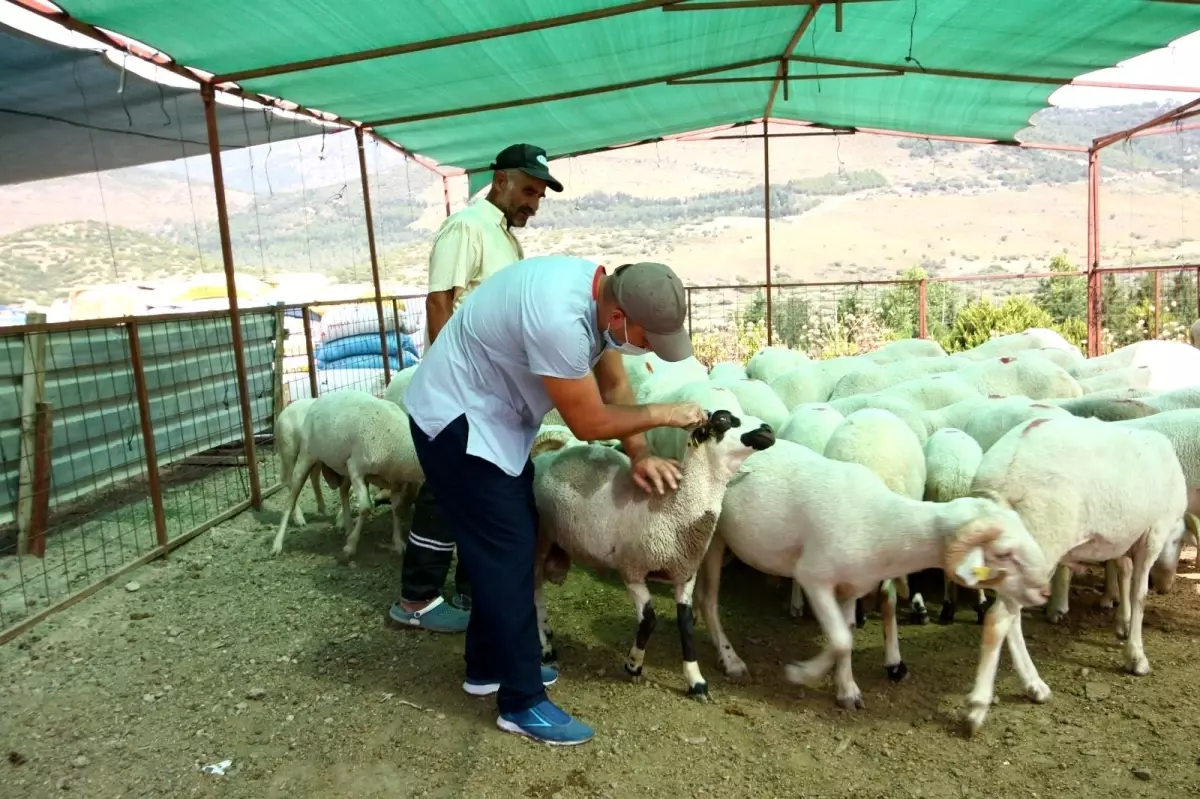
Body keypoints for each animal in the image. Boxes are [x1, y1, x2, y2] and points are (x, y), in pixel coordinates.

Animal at [274, 395, 326, 523]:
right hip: (288, 449)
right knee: (290, 480)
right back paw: (299, 519)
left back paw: (323, 510)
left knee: (314, 476)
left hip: (314, 455)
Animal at [530, 410, 772, 695]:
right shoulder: (632, 570)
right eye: (723, 420)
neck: (674, 507)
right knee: (534, 593)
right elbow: (649, 620)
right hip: (539, 541)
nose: (768, 430)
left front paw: (696, 680)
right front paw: (633, 665)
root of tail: (547, 458)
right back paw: (545, 647)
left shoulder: (685, 574)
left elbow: (685, 625)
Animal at [696, 441, 1051, 710]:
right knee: (708, 601)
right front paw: (802, 674)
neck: (885, 526)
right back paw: (730, 659)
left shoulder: (851, 588)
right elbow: (840, 639)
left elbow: (847, 636)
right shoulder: (813, 577)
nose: (1044, 591)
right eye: (1004, 554)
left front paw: (846, 689)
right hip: (713, 541)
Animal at [960, 417, 1195, 734]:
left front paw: (1122, 623)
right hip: (1042, 535)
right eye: (1179, 542)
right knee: (998, 618)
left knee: (1012, 617)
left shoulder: (1123, 538)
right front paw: (1136, 656)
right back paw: (979, 705)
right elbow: (1139, 593)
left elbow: (1123, 572)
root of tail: (1001, 472)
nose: (1166, 587)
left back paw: (1034, 685)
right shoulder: (1152, 534)